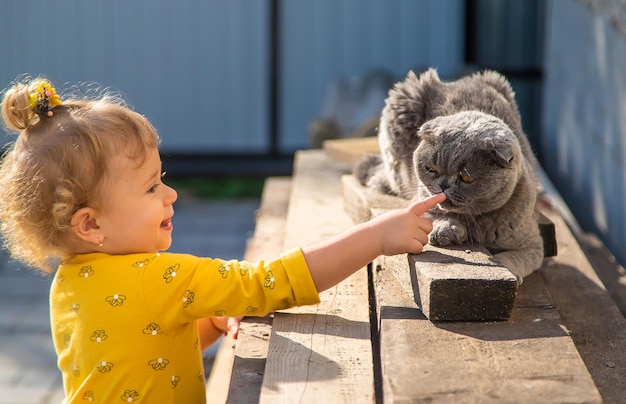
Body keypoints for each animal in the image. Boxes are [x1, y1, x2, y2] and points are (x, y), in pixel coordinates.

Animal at [356, 68, 540, 284]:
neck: (476, 222)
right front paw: (447, 230)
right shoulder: (420, 200)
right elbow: (433, 214)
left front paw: (506, 268)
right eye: (431, 169)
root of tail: (453, 81)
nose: (443, 185)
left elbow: (513, 258)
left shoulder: (533, 246)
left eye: (466, 178)